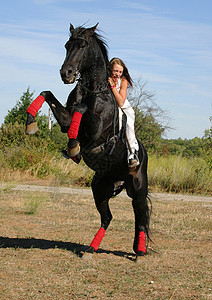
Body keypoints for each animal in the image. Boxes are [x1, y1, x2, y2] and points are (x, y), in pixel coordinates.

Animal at [25, 23, 151, 258]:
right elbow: (47, 94)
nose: (66, 73)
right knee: (107, 217)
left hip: (138, 189)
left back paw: (139, 251)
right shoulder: (65, 120)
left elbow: (82, 109)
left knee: (140, 216)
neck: (92, 90)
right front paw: (31, 123)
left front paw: (74, 147)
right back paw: (91, 248)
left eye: (82, 45)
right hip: (100, 189)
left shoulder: (96, 130)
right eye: (67, 45)